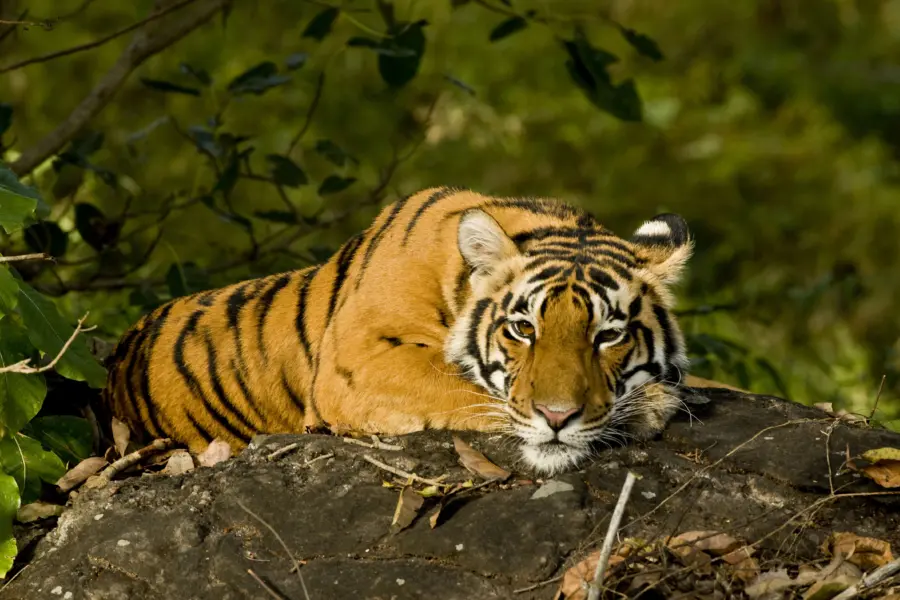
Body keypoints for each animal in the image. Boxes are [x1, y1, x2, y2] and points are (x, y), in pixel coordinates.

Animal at [104, 186, 721, 474]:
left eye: (607, 336)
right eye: (523, 329)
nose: (557, 418)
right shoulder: (360, 362)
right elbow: (462, 388)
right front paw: (650, 406)